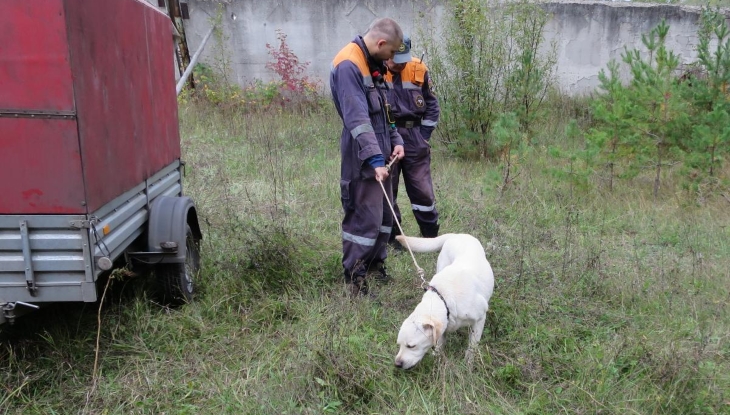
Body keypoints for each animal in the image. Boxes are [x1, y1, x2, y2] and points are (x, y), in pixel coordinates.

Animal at [392, 234, 494, 370]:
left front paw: (468, 364)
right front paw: (437, 358)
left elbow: (472, 346)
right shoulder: (443, 326)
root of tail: (457, 234)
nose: (397, 364)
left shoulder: (480, 320)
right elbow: (440, 345)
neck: (444, 299)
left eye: (411, 346)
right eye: (399, 344)